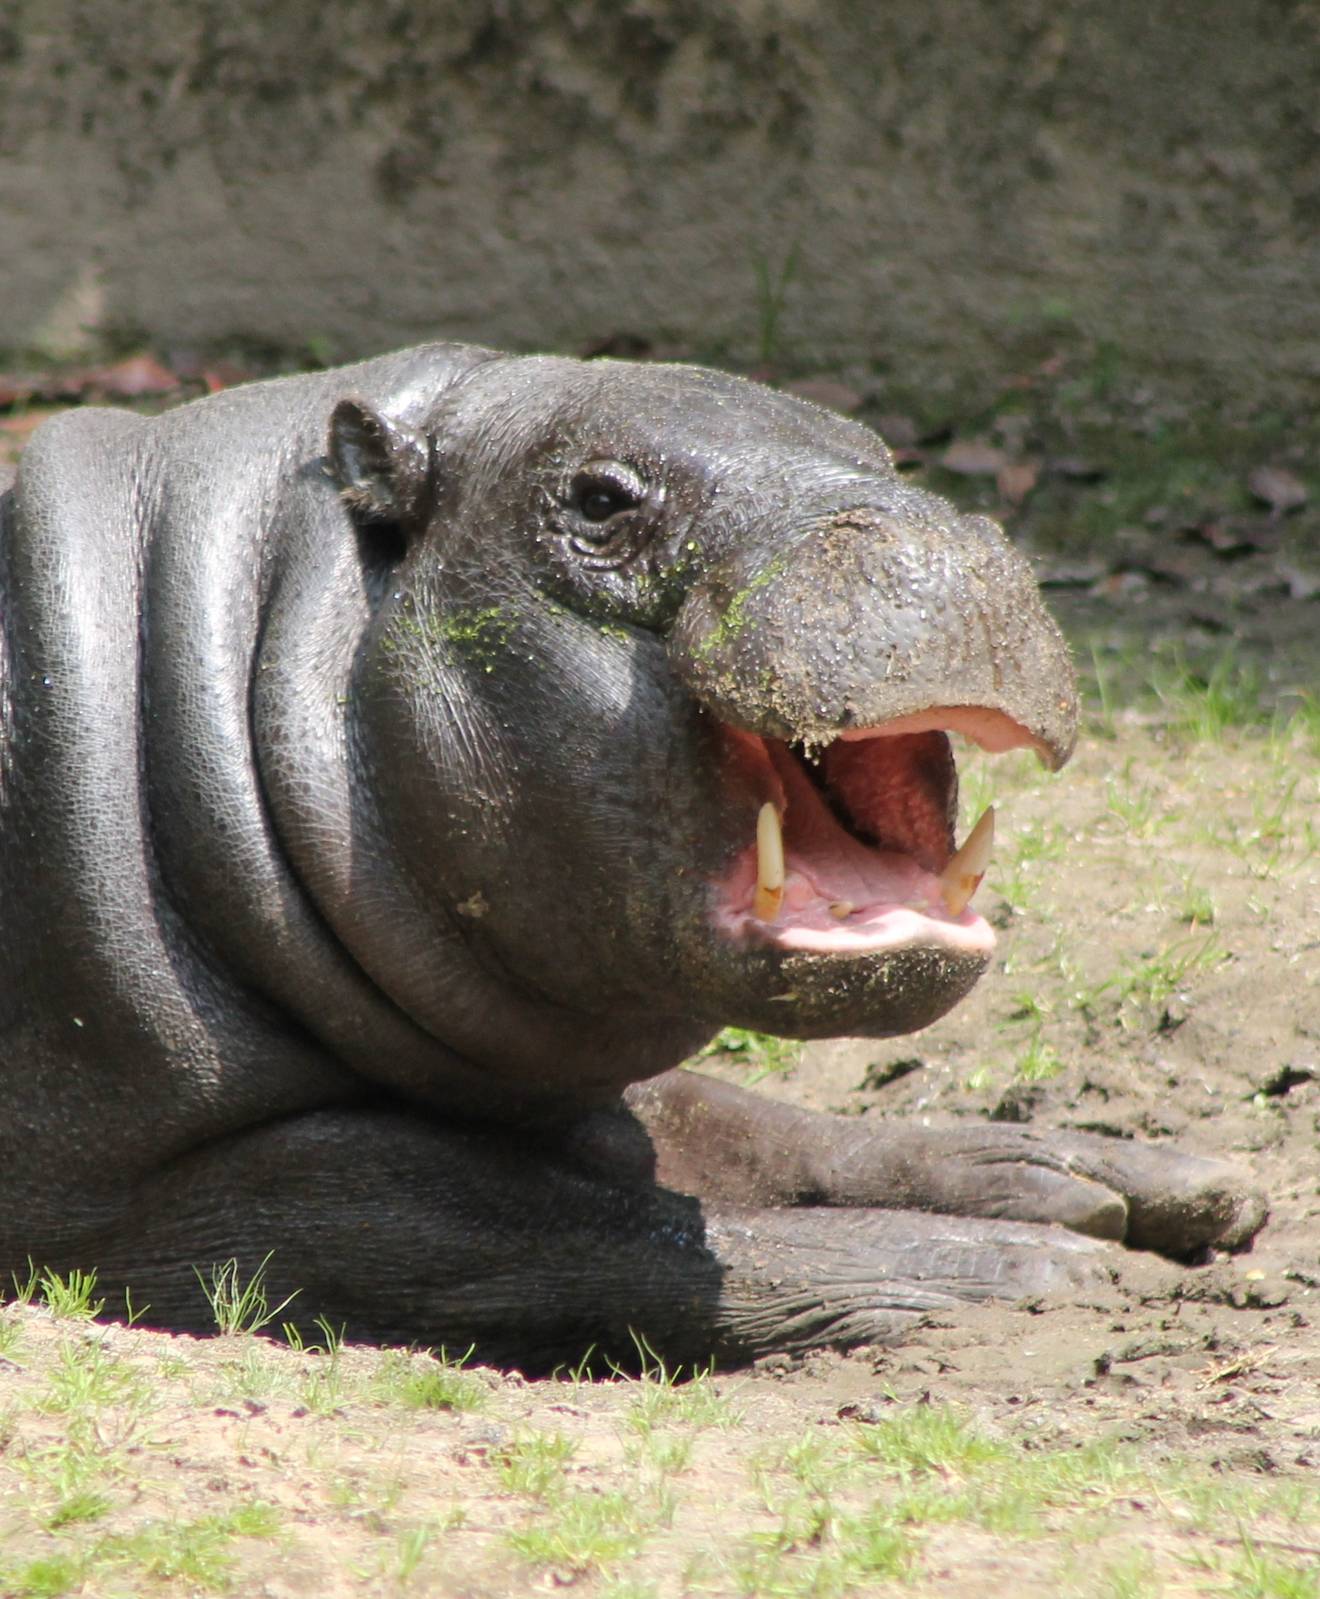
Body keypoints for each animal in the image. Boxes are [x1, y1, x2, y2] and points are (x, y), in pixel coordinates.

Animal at [0, 344, 1264, 1369]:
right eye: (599, 498)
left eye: (879, 449)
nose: (932, 539)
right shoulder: (181, 1192)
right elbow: (595, 1232)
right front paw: (1055, 1270)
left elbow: (741, 1126)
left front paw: (1113, 1179)